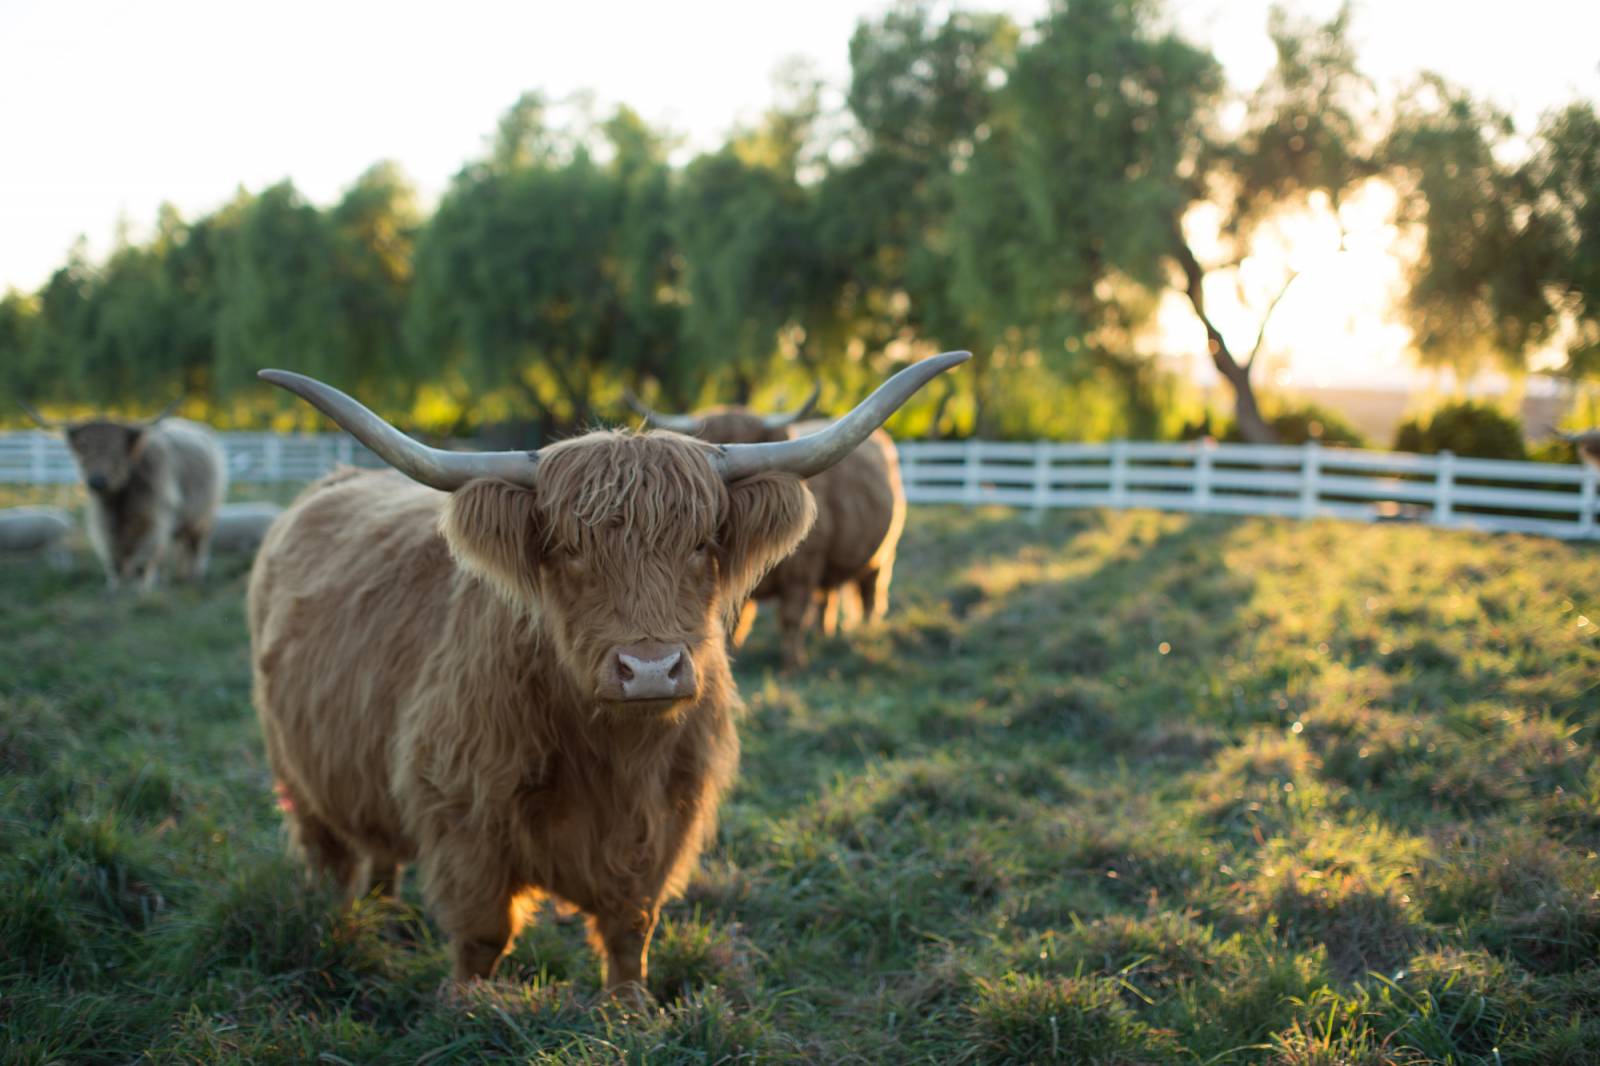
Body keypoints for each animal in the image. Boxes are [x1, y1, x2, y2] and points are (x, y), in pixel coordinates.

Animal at [23, 400, 227, 589]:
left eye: (117, 449)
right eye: (83, 446)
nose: (97, 481)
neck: (120, 502)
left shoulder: (155, 520)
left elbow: (143, 562)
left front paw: (142, 590)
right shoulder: (104, 525)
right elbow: (115, 562)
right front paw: (115, 588)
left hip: (203, 518)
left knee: (197, 547)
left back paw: (195, 577)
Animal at [624, 385, 908, 665]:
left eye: (754, 438)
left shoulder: (802, 573)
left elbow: (791, 618)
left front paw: (792, 664)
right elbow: (733, 621)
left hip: (883, 554)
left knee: (870, 593)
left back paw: (866, 634)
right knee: (828, 597)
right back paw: (823, 636)